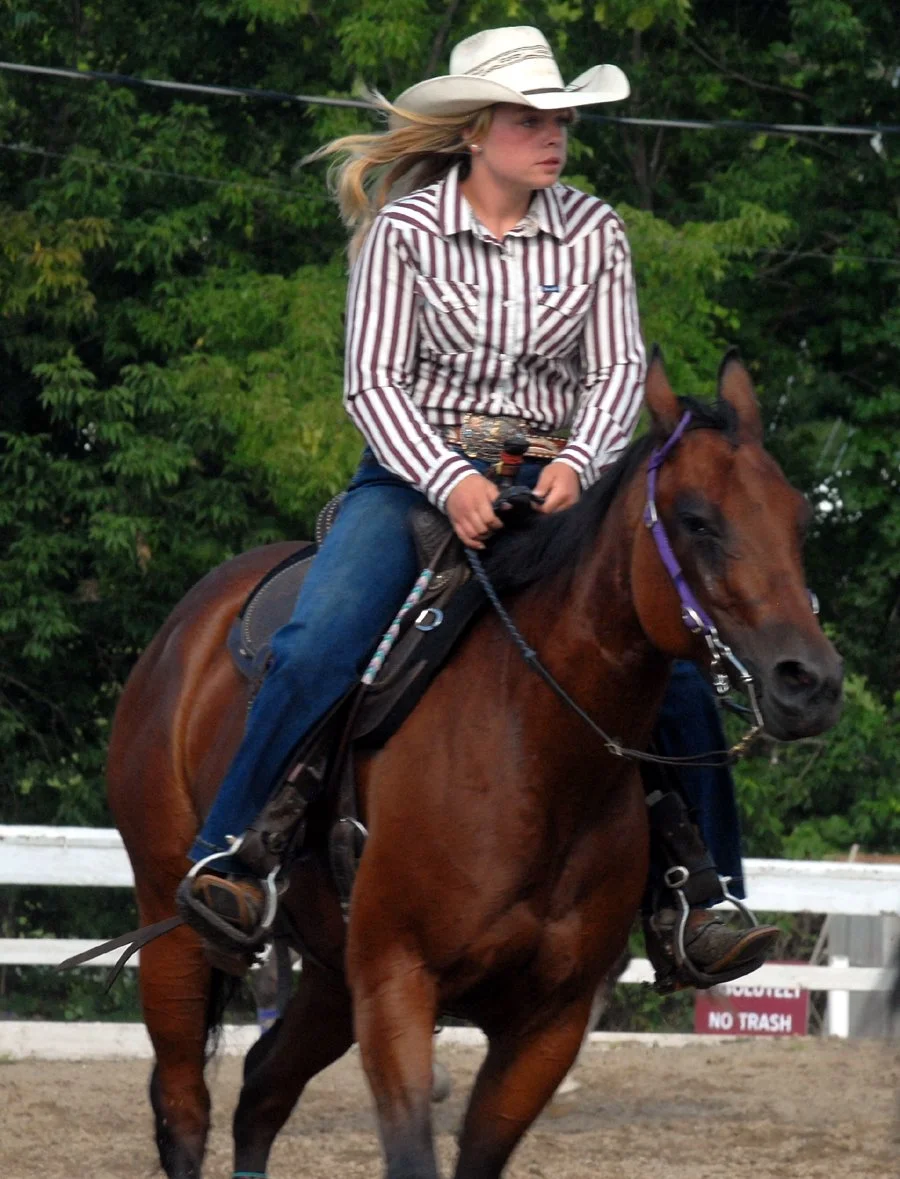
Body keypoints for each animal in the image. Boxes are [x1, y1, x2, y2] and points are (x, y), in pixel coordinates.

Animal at [106, 352, 843, 1179]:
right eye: (696, 519)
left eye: (797, 519)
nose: (810, 681)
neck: (533, 753)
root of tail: (181, 634)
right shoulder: (396, 985)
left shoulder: (549, 1022)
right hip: (173, 924)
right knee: (183, 1106)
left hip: (329, 973)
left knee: (263, 1087)